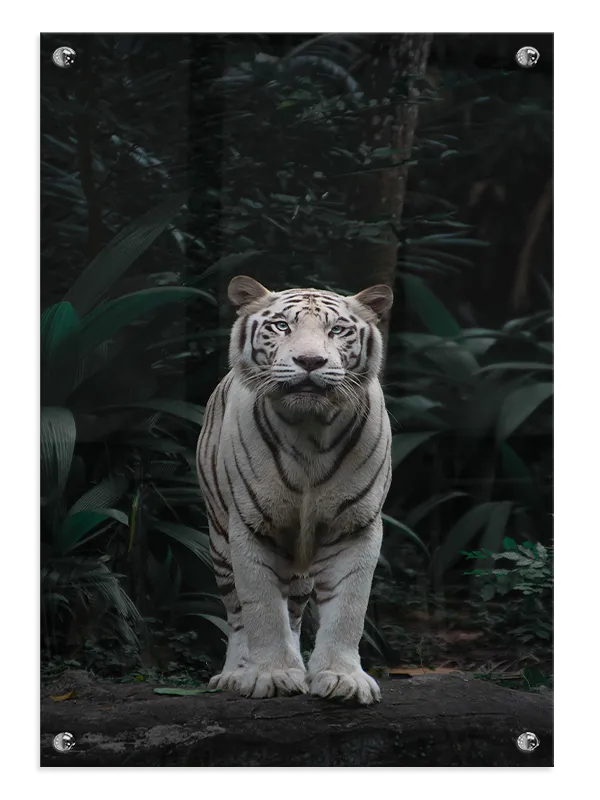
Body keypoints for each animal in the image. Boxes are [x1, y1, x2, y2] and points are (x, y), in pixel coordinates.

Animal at [196, 275, 393, 705]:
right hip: (219, 540)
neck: (310, 430)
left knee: (296, 610)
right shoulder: (251, 526)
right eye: (282, 326)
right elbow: (262, 610)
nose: (310, 361)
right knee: (238, 614)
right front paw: (272, 675)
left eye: (337, 330)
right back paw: (236, 673)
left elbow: (348, 607)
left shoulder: (356, 526)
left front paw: (342, 677)